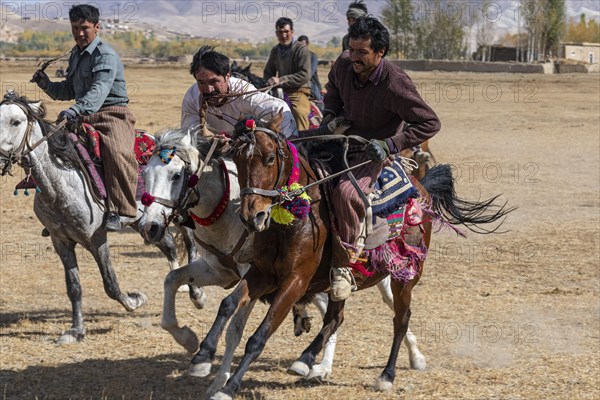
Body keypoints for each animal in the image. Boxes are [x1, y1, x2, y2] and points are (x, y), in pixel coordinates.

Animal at [0, 93, 202, 344]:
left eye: (16, 122)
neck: (61, 182)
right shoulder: (61, 241)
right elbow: (74, 287)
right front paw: (76, 331)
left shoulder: (97, 240)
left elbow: (111, 284)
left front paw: (135, 300)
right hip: (146, 223)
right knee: (169, 245)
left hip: (180, 213)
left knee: (191, 243)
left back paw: (196, 292)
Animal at [136, 128, 426, 394]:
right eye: (145, 174)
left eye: (176, 175)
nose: (149, 226)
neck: (225, 210)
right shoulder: (221, 271)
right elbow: (174, 281)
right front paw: (188, 339)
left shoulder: (261, 274)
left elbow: (236, 329)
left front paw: (220, 381)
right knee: (339, 313)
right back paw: (320, 363)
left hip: (397, 272)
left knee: (396, 311)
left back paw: (393, 365)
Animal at [197, 114, 510, 398]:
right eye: (237, 160)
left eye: (270, 158)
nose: (253, 216)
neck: (295, 218)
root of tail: (421, 190)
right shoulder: (263, 273)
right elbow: (228, 304)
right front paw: (203, 355)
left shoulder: (295, 281)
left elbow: (259, 336)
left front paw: (229, 387)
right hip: (340, 281)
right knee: (336, 317)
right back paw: (306, 360)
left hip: (405, 275)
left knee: (401, 319)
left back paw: (386, 375)